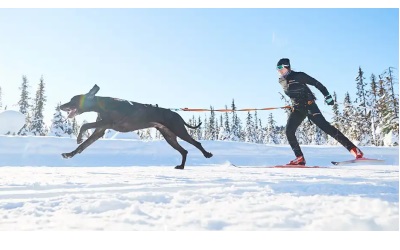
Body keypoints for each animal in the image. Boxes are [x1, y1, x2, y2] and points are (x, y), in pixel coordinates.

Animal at [59, 85, 212, 169]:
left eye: (72, 100)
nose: (61, 106)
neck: (102, 105)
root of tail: (176, 113)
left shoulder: (106, 123)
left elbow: (84, 126)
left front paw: (78, 138)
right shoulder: (99, 131)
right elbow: (82, 146)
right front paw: (69, 154)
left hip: (179, 130)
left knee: (196, 143)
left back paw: (207, 154)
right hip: (169, 137)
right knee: (184, 151)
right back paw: (181, 166)